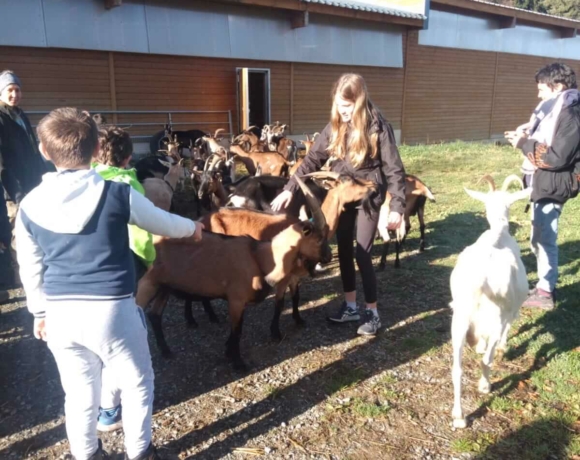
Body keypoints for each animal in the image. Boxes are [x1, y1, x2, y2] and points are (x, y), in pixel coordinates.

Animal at [450, 174, 532, 430]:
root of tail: (481, 278)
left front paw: (479, 345)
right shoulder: (511, 311)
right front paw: (504, 347)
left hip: (458, 320)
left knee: (456, 369)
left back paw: (459, 417)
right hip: (496, 317)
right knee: (487, 360)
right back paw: (485, 386)